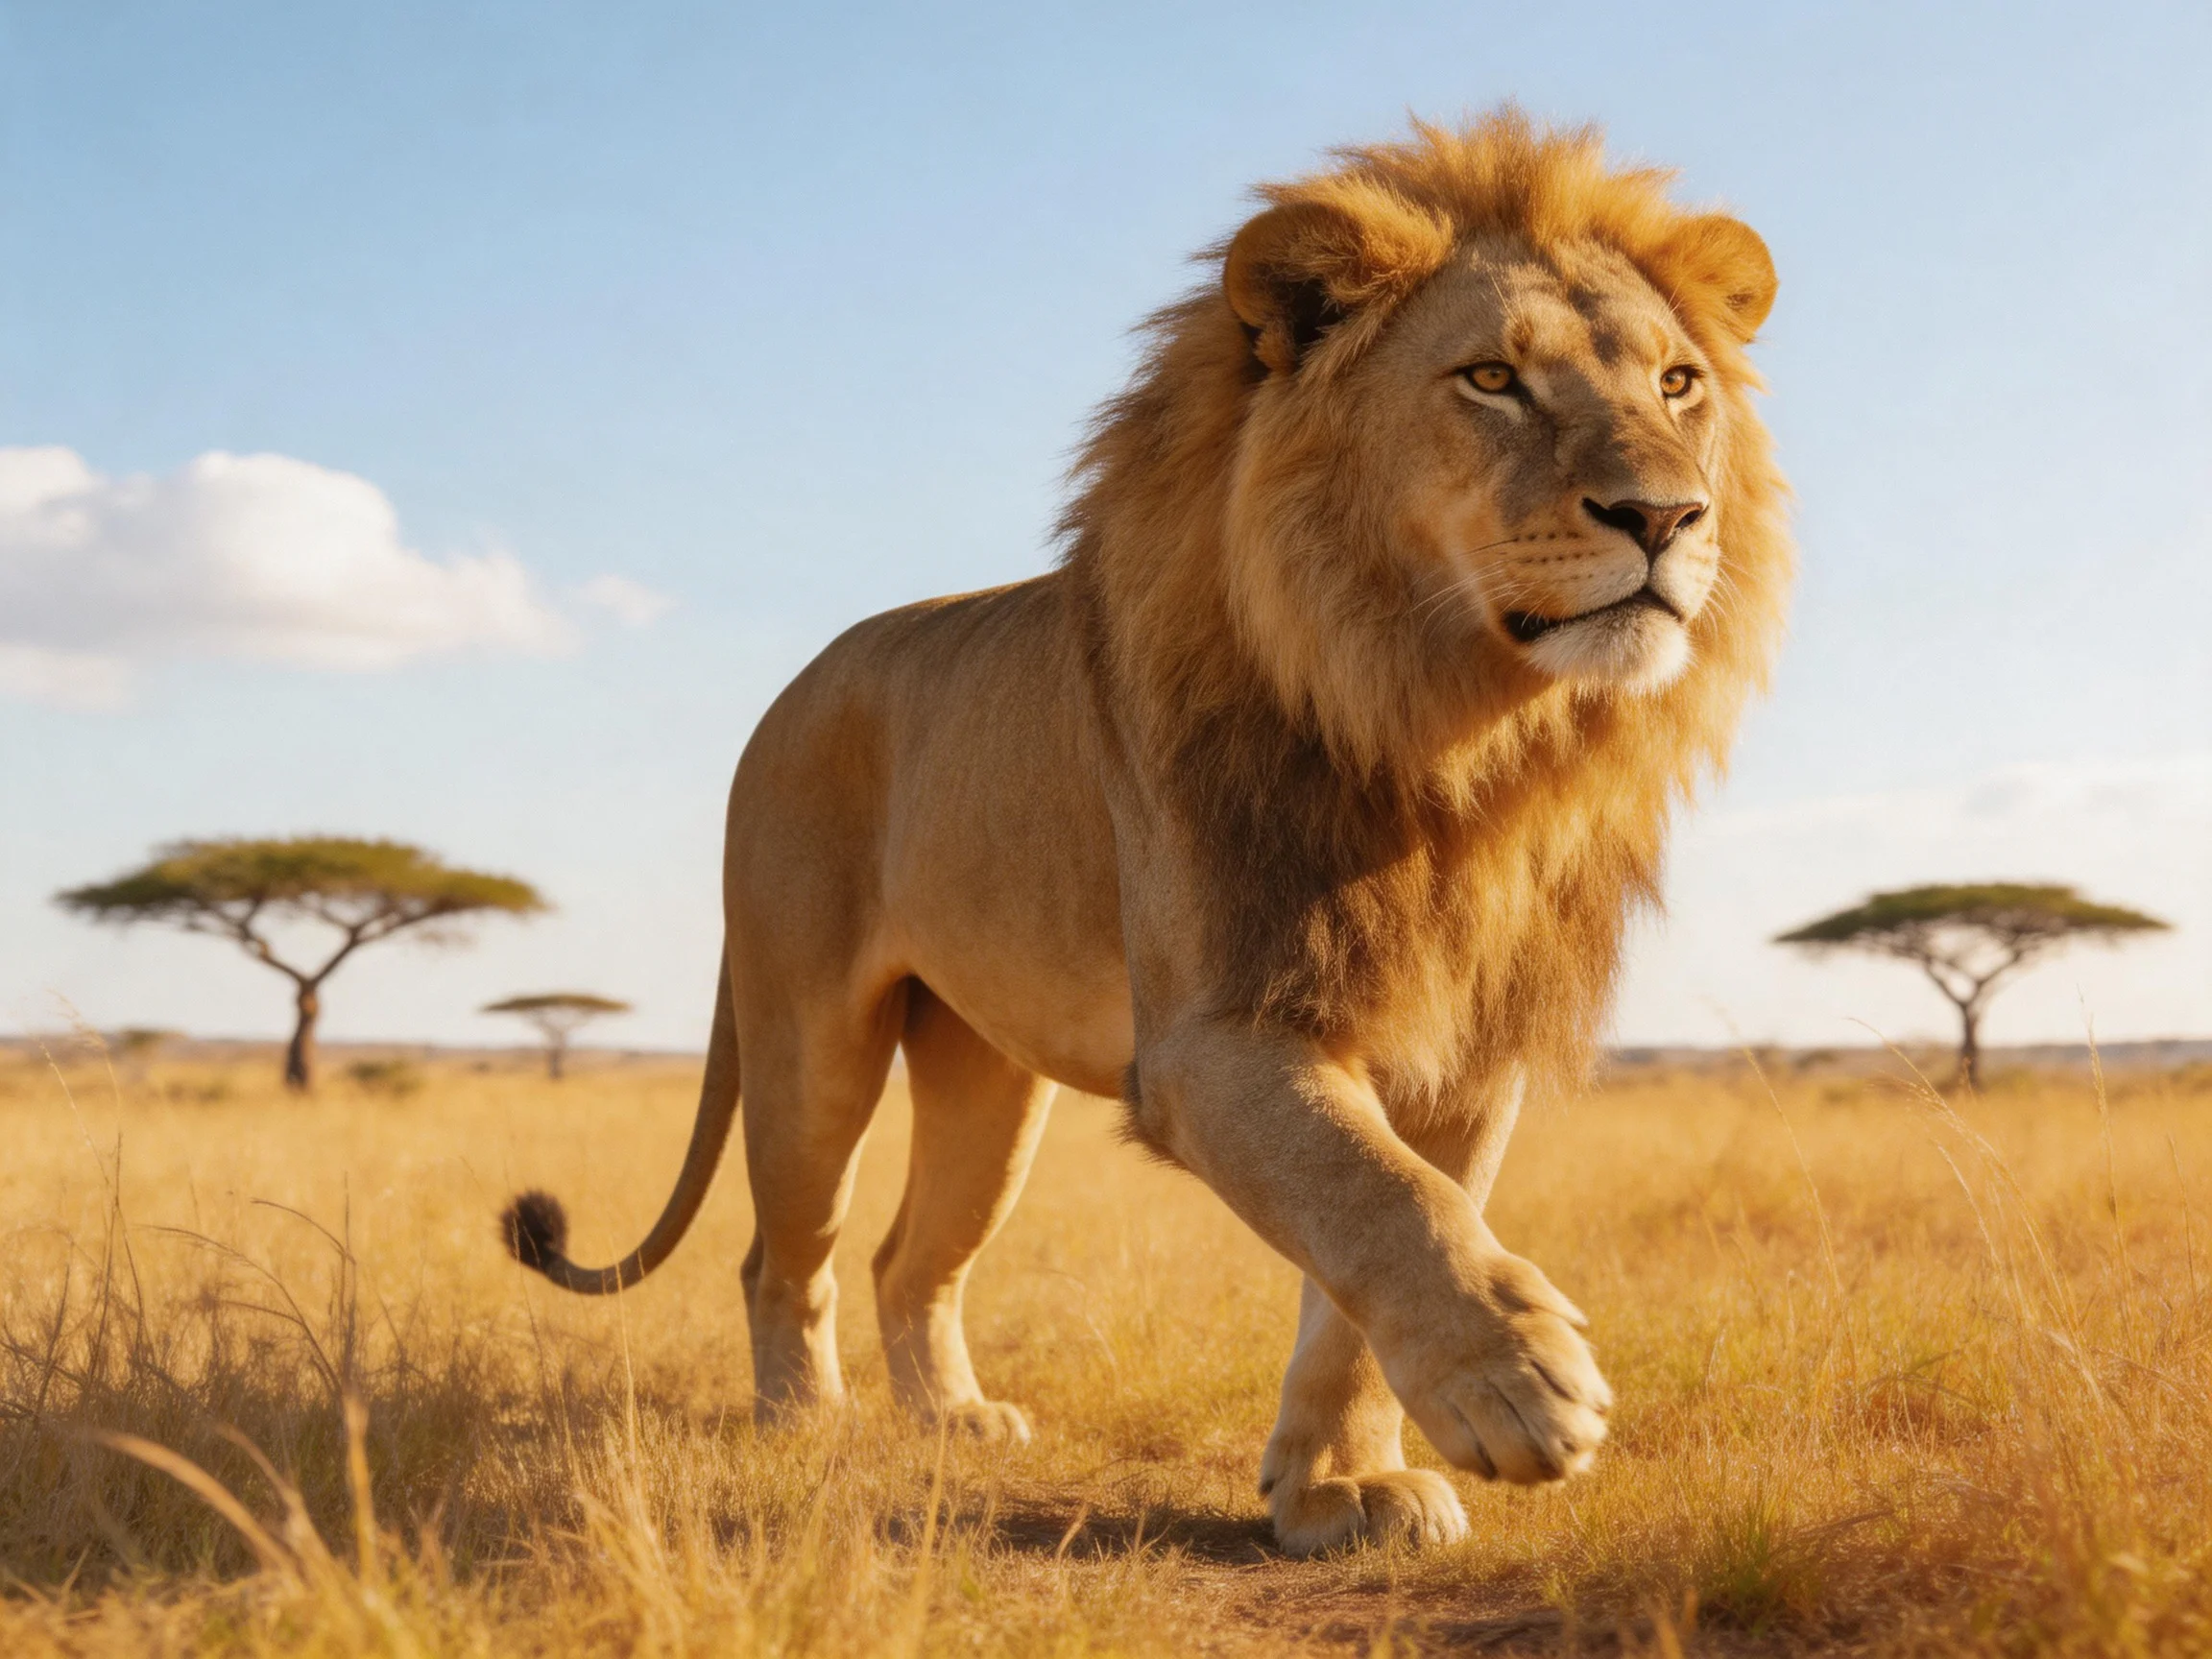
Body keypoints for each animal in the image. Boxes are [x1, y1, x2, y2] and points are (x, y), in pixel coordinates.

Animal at [501, 111, 1791, 1557]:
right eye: (1493, 378)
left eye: (1680, 384)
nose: (1666, 518)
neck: (1452, 734)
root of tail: (796, 686)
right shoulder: (1212, 1035)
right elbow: (1378, 1194)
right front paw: (1518, 1381)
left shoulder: (1461, 1044)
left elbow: (1375, 1250)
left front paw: (1338, 1486)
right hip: (807, 1035)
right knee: (787, 1249)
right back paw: (805, 1421)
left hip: (988, 1082)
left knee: (909, 1256)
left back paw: (952, 1420)